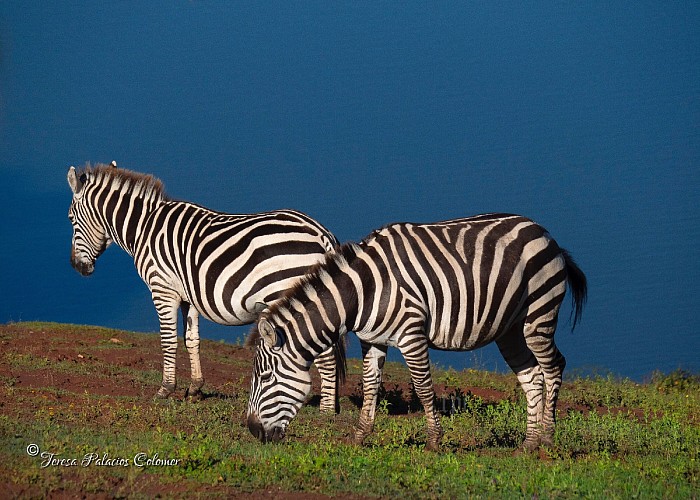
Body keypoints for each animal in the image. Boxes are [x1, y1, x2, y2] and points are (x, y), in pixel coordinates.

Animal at [67, 161, 346, 410]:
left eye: (70, 219)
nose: (76, 267)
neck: (143, 227)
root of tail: (320, 232)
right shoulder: (188, 295)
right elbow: (192, 340)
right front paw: (195, 389)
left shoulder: (162, 289)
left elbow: (168, 339)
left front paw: (165, 390)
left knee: (325, 354)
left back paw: (326, 411)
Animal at [246, 213, 584, 452]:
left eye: (265, 377)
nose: (252, 430)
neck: (363, 291)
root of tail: (544, 233)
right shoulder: (372, 340)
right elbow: (370, 386)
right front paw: (359, 436)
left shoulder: (412, 334)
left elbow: (423, 387)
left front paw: (435, 440)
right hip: (510, 330)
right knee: (532, 377)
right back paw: (528, 443)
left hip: (538, 316)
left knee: (554, 367)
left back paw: (547, 439)